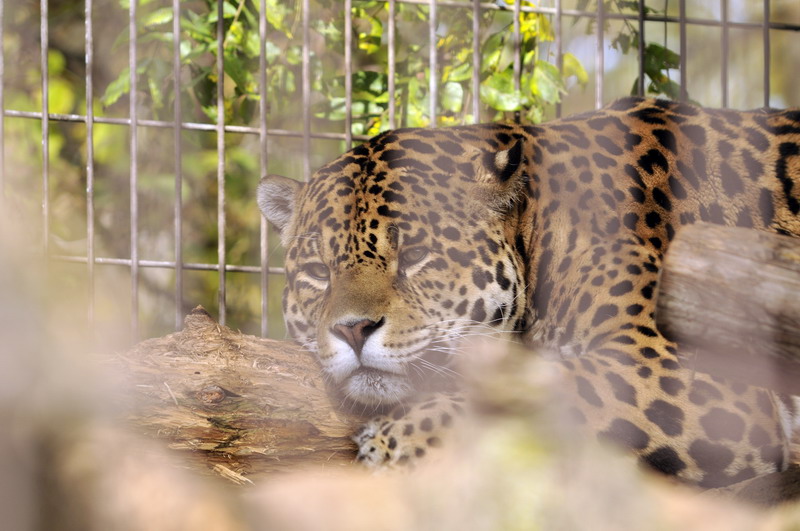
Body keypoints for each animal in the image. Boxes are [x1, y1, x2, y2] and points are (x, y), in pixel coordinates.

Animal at [257, 96, 800, 488]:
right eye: (318, 272)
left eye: (415, 256)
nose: (353, 330)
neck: (543, 231)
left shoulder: (691, 374)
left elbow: (551, 388)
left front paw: (395, 442)